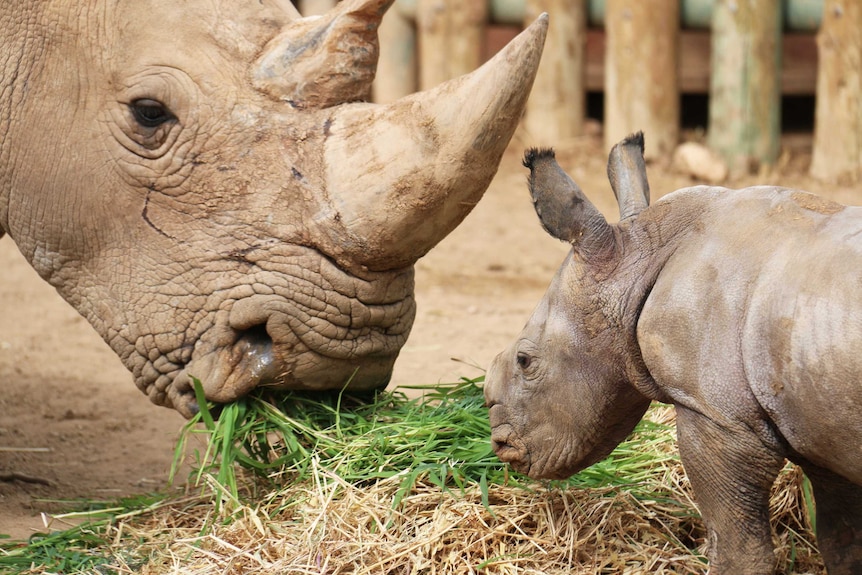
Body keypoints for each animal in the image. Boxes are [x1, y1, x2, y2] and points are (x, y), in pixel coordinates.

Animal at [486, 135, 862, 575]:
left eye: (525, 361)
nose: (501, 446)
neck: (641, 258)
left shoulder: (718, 416)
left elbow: (738, 550)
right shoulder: (823, 431)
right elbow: (843, 541)